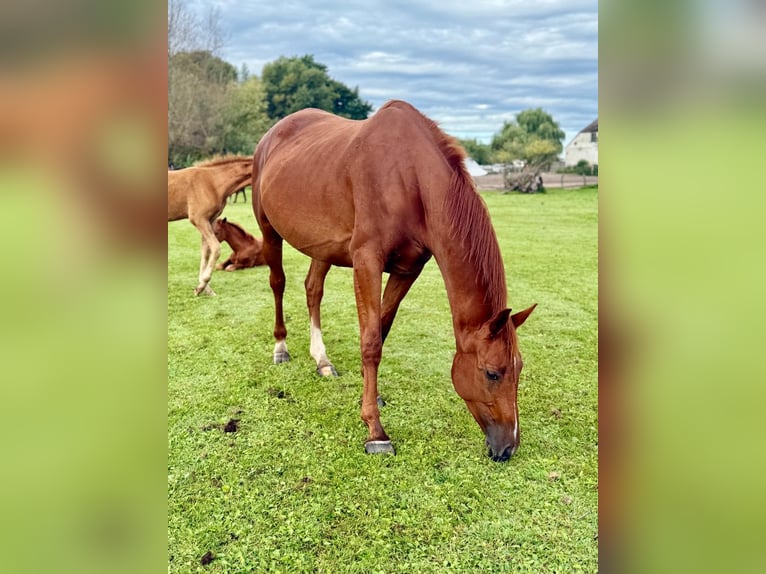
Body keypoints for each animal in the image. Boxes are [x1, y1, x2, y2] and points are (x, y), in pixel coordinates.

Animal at [168, 155, 252, 295]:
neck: (213, 182)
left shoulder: (210, 220)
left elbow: (206, 251)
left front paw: (205, 287)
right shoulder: (199, 219)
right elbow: (216, 248)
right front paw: (201, 287)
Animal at [252, 100, 536, 462]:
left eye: (519, 368)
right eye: (492, 373)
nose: (507, 447)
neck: (410, 178)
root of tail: (272, 135)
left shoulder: (407, 270)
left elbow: (382, 329)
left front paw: (370, 394)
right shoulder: (367, 261)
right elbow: (371, 341)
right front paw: (375, 429)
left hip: (322, 247)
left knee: (313, 290)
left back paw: (322, 360)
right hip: (269, 231)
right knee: (278, 283)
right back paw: (281, 348)